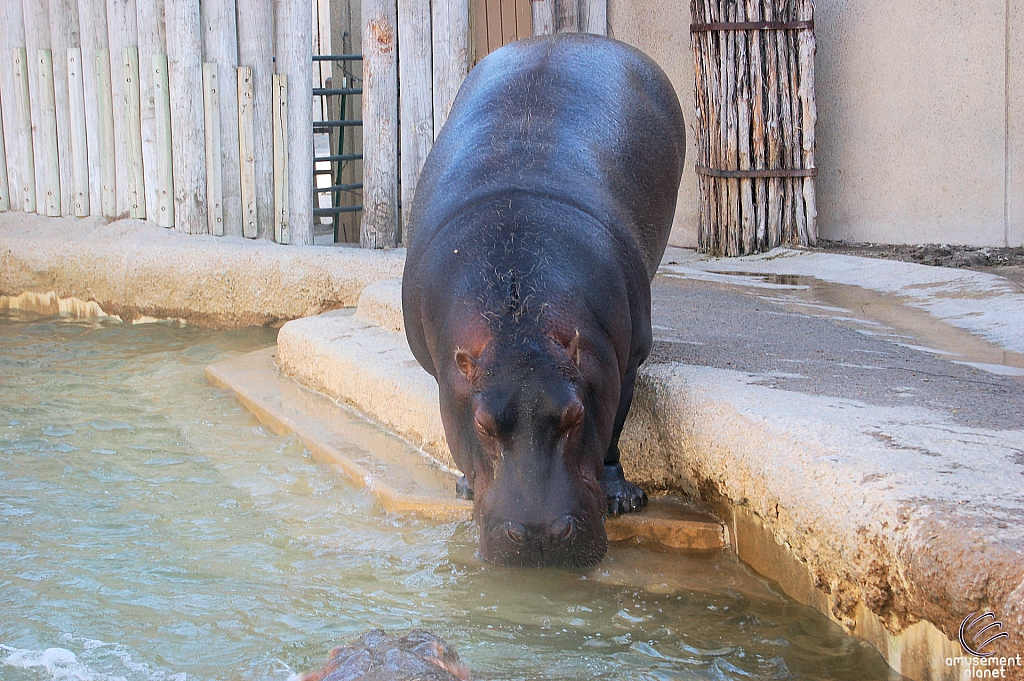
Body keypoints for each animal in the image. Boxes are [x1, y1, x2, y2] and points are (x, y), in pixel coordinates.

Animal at [403, 31, 684, 565]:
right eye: (484, 424)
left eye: (574, 415)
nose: (539, 534)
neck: (520, 322)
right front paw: (464, 487)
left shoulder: (622, 361)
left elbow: (614, 430)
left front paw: (625, 499)